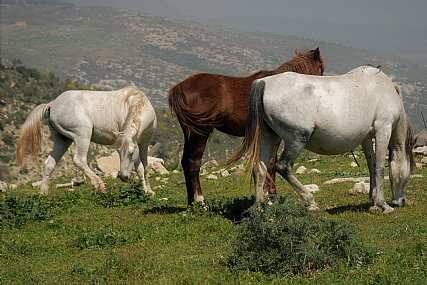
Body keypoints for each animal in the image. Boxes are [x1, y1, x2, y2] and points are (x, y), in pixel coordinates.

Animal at [16, 85, 158, 194]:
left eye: (130, 152)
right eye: (118, 152)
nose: (123, 177)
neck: (138, 103)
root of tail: (52, 104)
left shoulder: (143, 143)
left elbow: (144, 167)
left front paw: (148, 190)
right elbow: (140, 167)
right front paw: (146, 190)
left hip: (63, 140)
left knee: (49, 163)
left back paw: (43, 193)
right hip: (83, 135)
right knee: (79, 160)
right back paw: (100, 185)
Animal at [169, 47, 326, 204]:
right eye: (321, 68)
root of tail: (179, 87)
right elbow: (270, 164)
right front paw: (270, 196)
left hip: (190, 133)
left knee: (185, 161)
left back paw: (191, 201)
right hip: (200, 133)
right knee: (193, 162)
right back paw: (200, 199)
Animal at [229, 65, 416, 213]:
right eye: (409, 174)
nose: (401, 201)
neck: (384, 89)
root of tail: (264, 83)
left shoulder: (367, 138)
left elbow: (371, 166)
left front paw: (373, 201)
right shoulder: (383, 130)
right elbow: (380, 168)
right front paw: (383, 205)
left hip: (269, 137)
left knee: (259, 170)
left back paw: (260, 209)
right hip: (297, 139)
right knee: (283, 167)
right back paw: (310, 201)